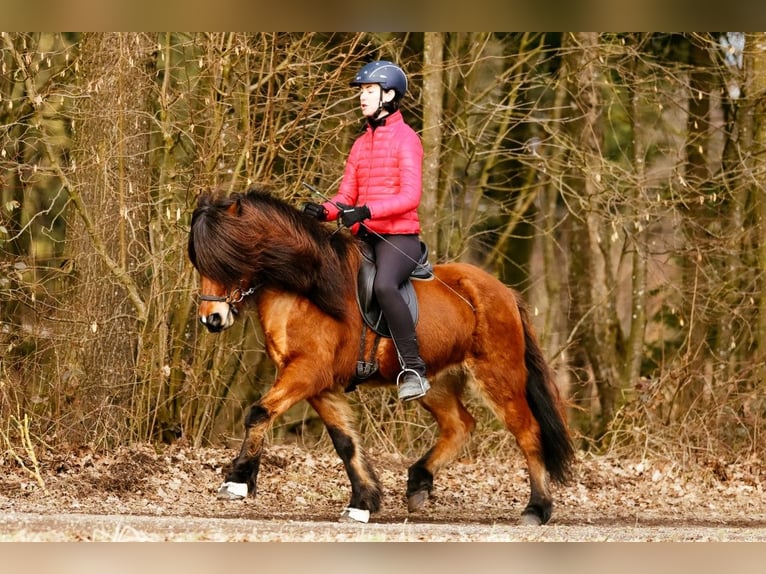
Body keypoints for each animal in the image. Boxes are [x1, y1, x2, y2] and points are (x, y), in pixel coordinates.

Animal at [187, 187, 575, 525]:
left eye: (229, 258)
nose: (211, 319)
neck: (306, 287)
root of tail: (505, 292)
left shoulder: (307, 372)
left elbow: (258, 413)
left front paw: (237, 481)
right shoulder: (317, 384)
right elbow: (344, 442)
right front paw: (363, 502)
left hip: (499, 376)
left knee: (527, 432)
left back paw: (537, 509)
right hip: (436, 382)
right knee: (460, 425)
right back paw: (419, 482)